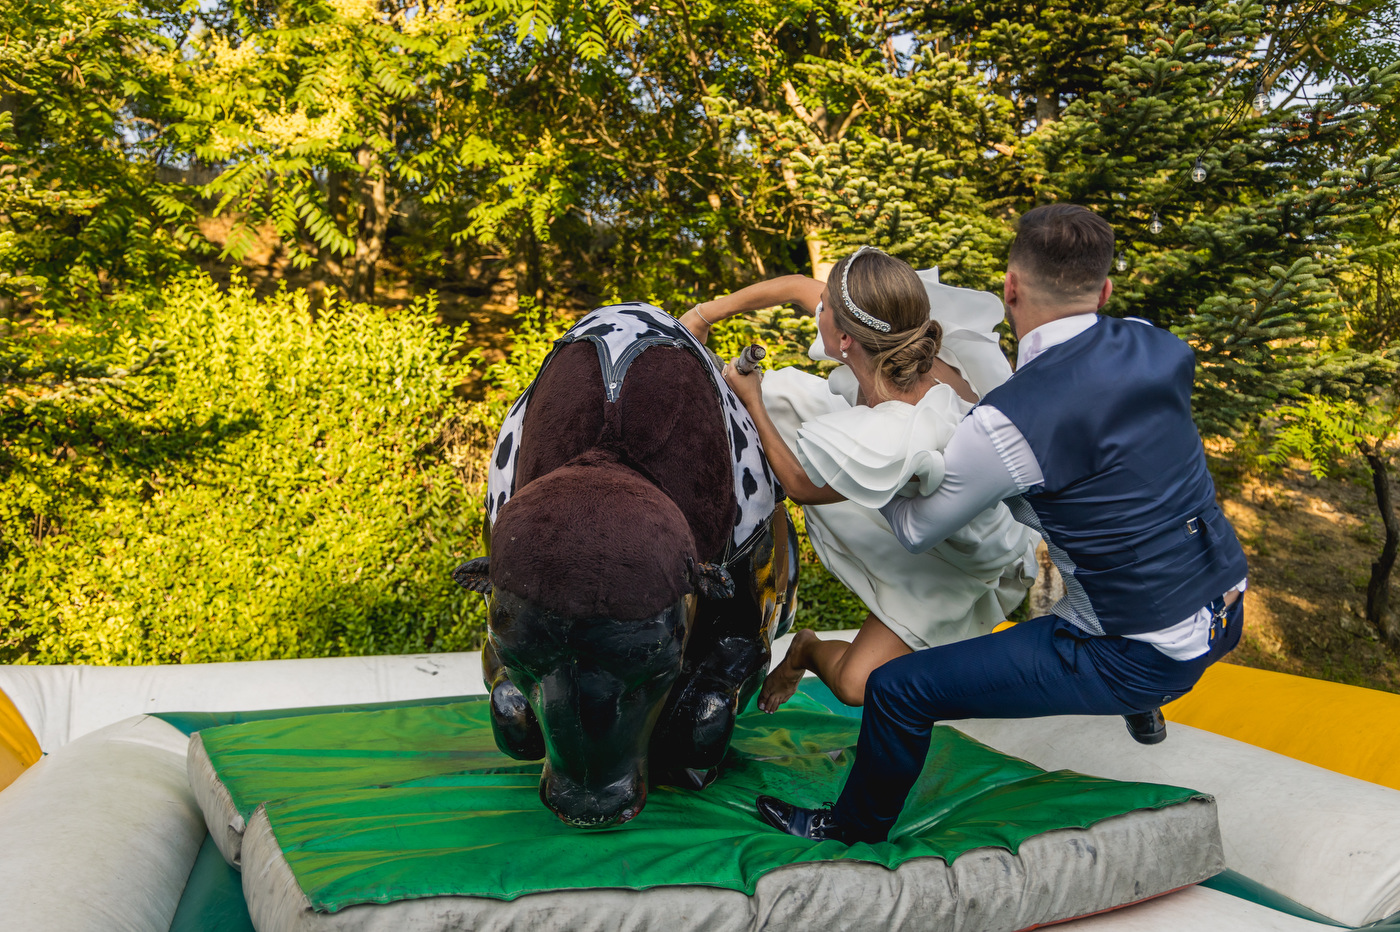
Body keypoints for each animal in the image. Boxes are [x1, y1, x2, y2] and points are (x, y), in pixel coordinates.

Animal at [450, 300, 795, 822]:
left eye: (660, 664)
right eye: (518, 656)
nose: (588, 807)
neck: (609, 446)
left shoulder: (748, 615)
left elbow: (703, 712)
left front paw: (689, 764)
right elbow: (510, 709)